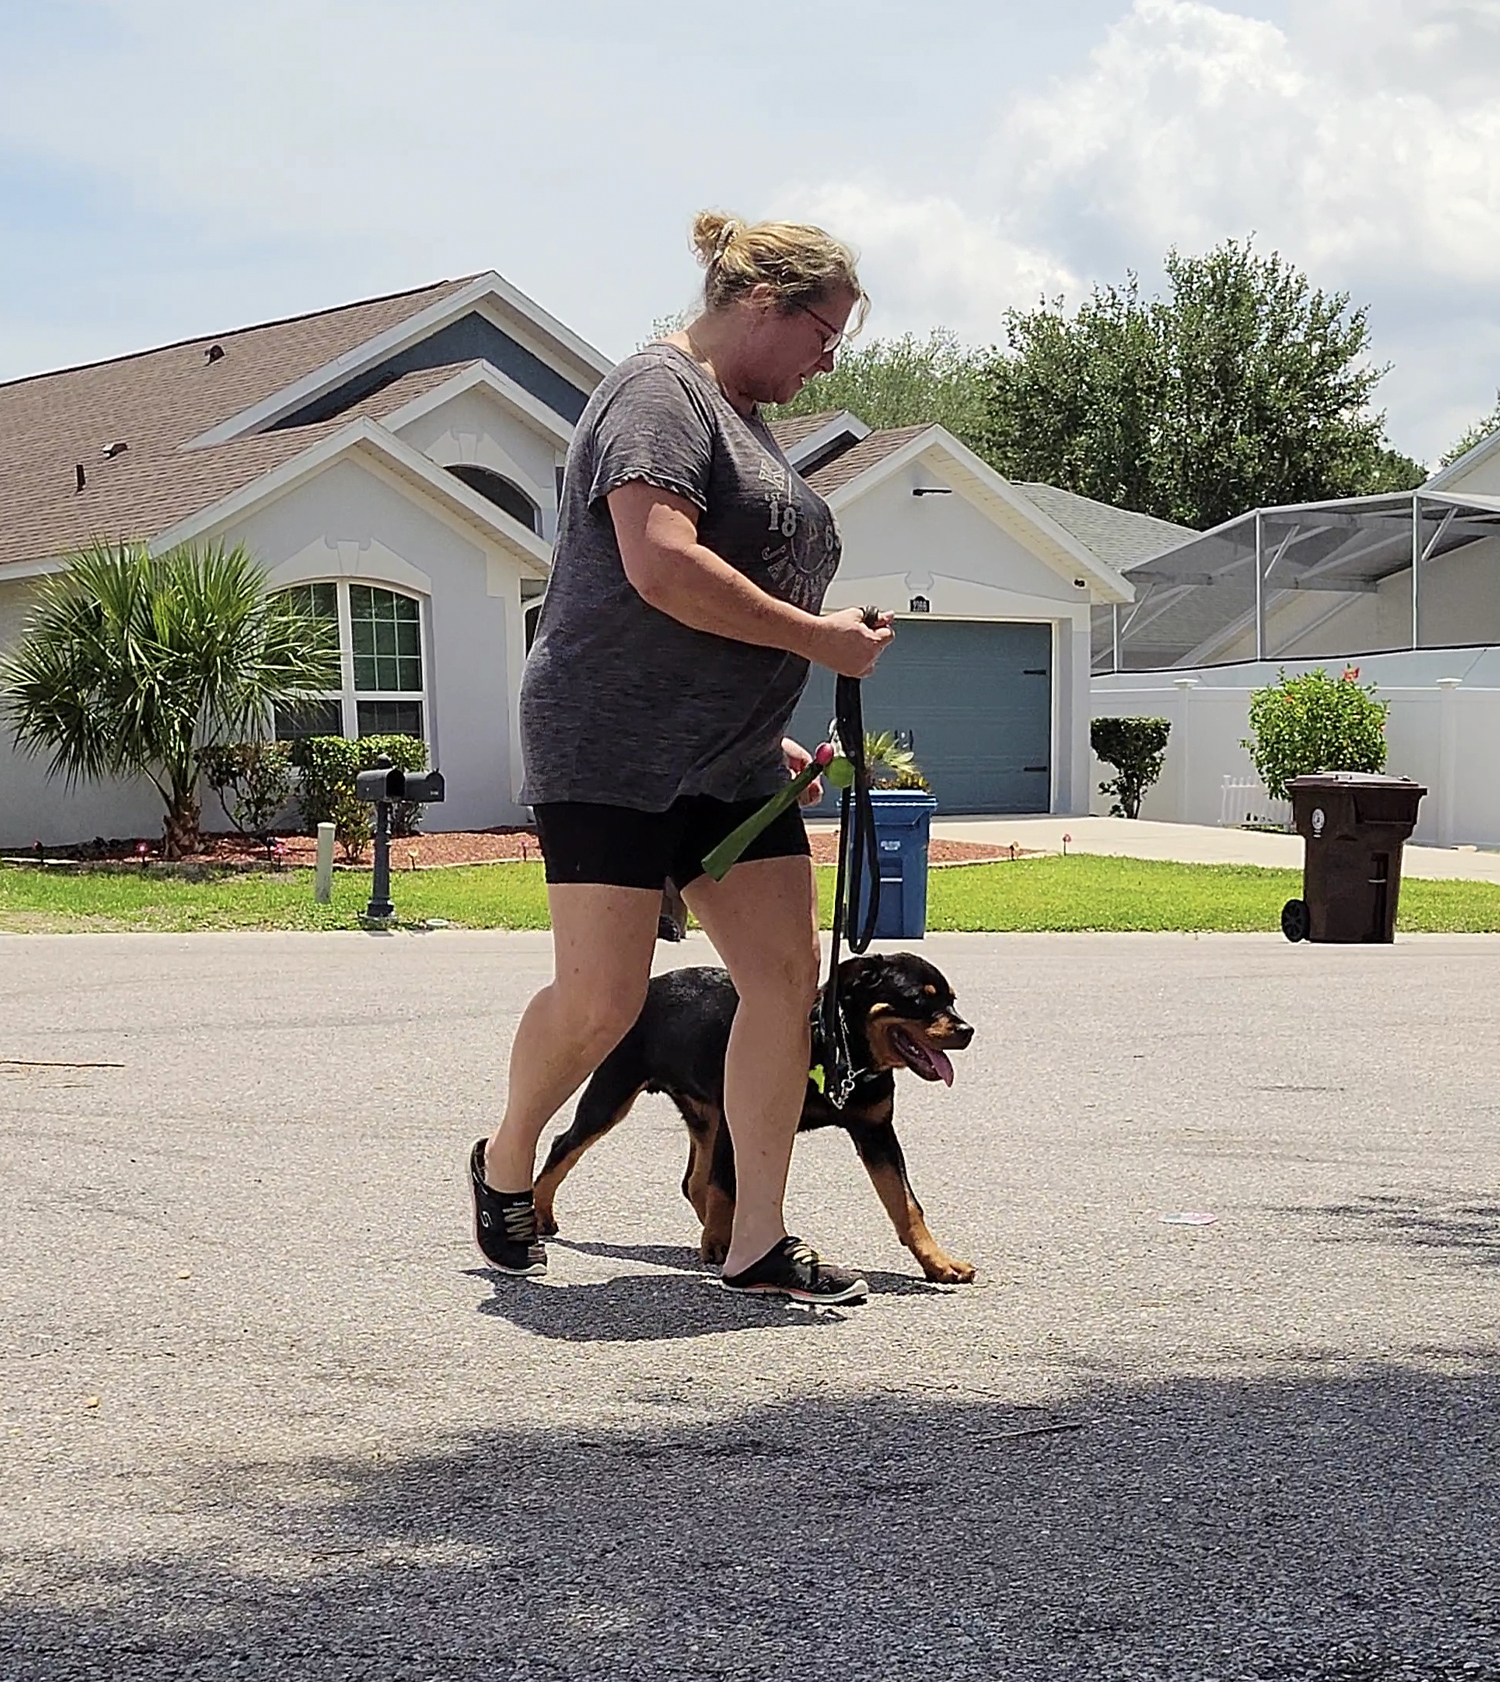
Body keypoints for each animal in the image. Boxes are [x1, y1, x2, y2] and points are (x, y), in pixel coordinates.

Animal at [534, 955, 975, 1278]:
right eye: (918, 999)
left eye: (952, 999)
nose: (967, 1030)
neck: (840, 1050)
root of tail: (649, 987)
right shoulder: (742, 1115)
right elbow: (725, 1186)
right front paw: (718, 1242)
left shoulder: (876, 1131)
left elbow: (906, 1203)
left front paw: (939, 1263)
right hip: (613, 1092)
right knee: (564, 1144)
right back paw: (540, 1213)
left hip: (705, 1115)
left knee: (694, 1181)